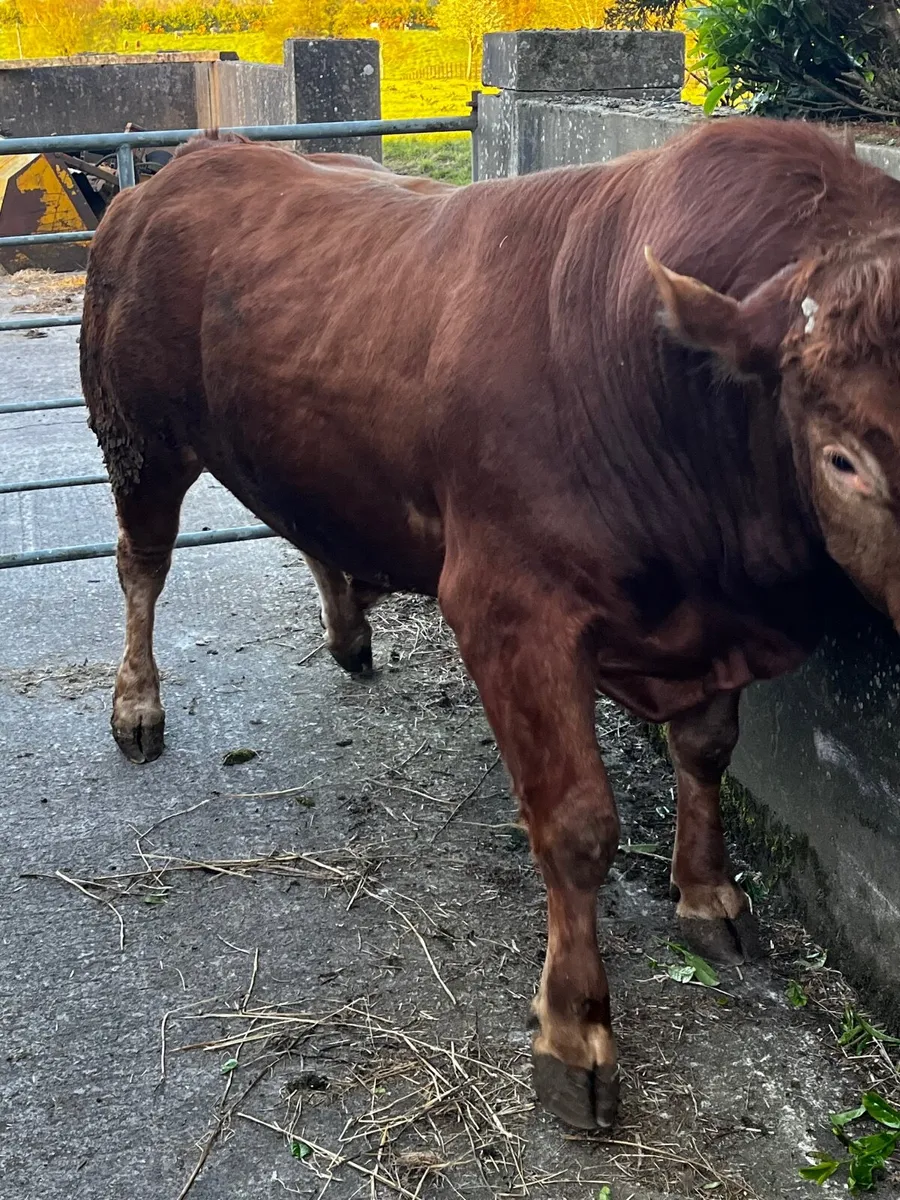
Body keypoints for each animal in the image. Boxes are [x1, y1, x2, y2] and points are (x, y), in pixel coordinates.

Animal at [80, 116, 900, 1131]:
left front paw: (710, 894)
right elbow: (578, 825)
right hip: (137, 435)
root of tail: (191, 156)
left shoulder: (714, 626)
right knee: (141, 565)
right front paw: (575, 1032)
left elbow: (707, 750)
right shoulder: (509, 607)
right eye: (843, 459)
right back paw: (137, 705)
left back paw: (349, 634)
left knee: (307, 527)